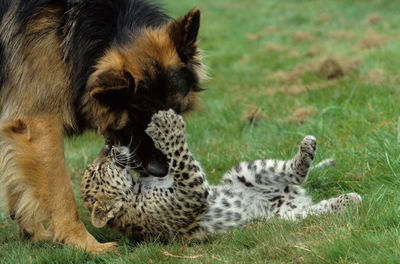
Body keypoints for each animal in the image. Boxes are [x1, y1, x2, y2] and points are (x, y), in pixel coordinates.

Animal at [0, 0, 205, 252]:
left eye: (173, 116)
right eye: (135, 117)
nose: (160, 171)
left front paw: (32, 232)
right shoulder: (39, 123)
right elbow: (61, 193)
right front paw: (84, 243)